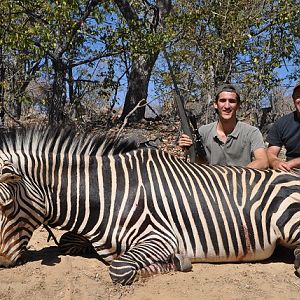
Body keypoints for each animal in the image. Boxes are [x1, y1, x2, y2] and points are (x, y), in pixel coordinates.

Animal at [0, 125, 298, 284]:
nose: (2, 262)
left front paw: (179, 262)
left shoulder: (161, 237)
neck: (111, 194)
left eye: (6, 205)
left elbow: (119, 269)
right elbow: (66, 241)